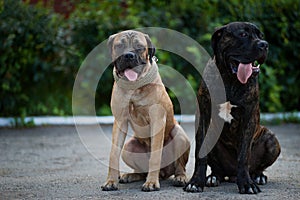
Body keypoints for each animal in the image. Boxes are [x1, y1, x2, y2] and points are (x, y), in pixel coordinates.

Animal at [101, 30, 190, 191]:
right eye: (119, 46)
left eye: (139, 47)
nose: (128, 55)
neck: (134, 88)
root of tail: (164, 173)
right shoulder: (120, 121)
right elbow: (113, 153)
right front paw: (111, 181)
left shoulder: (157, 120)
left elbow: (155, 156)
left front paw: (151, 183)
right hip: (128, 147)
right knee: (141, 171)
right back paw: (130, 176)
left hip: (180, 136)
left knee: (180, 166)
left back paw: (180, 178)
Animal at [183, 21, 282, 194]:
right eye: (243, 34)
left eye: (261, 36)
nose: (264, 44)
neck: (230, 79)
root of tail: (231, 175)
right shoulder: (204, 116)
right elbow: (200, 154)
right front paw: (196, 182)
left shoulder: (248, 117)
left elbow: (243, 155)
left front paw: (247, 184)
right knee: (217, 169)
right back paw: (213, 177)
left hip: (271, 140)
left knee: (256, 167)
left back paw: (257, 176)